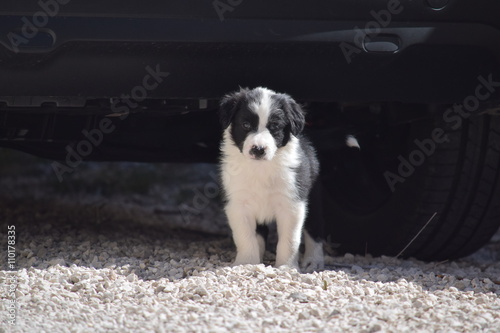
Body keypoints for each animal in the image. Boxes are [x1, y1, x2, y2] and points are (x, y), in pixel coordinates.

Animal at [219, 86, 324, 270]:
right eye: (246, 125)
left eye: (274, 126)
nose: (258, 149)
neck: (260, 168)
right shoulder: (237, 203)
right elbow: (245, 236)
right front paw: (246, 263)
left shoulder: (291, 203)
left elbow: (289, 240)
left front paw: (287, 267)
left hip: (313, 199)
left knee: (314, 231)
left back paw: (314, 261)